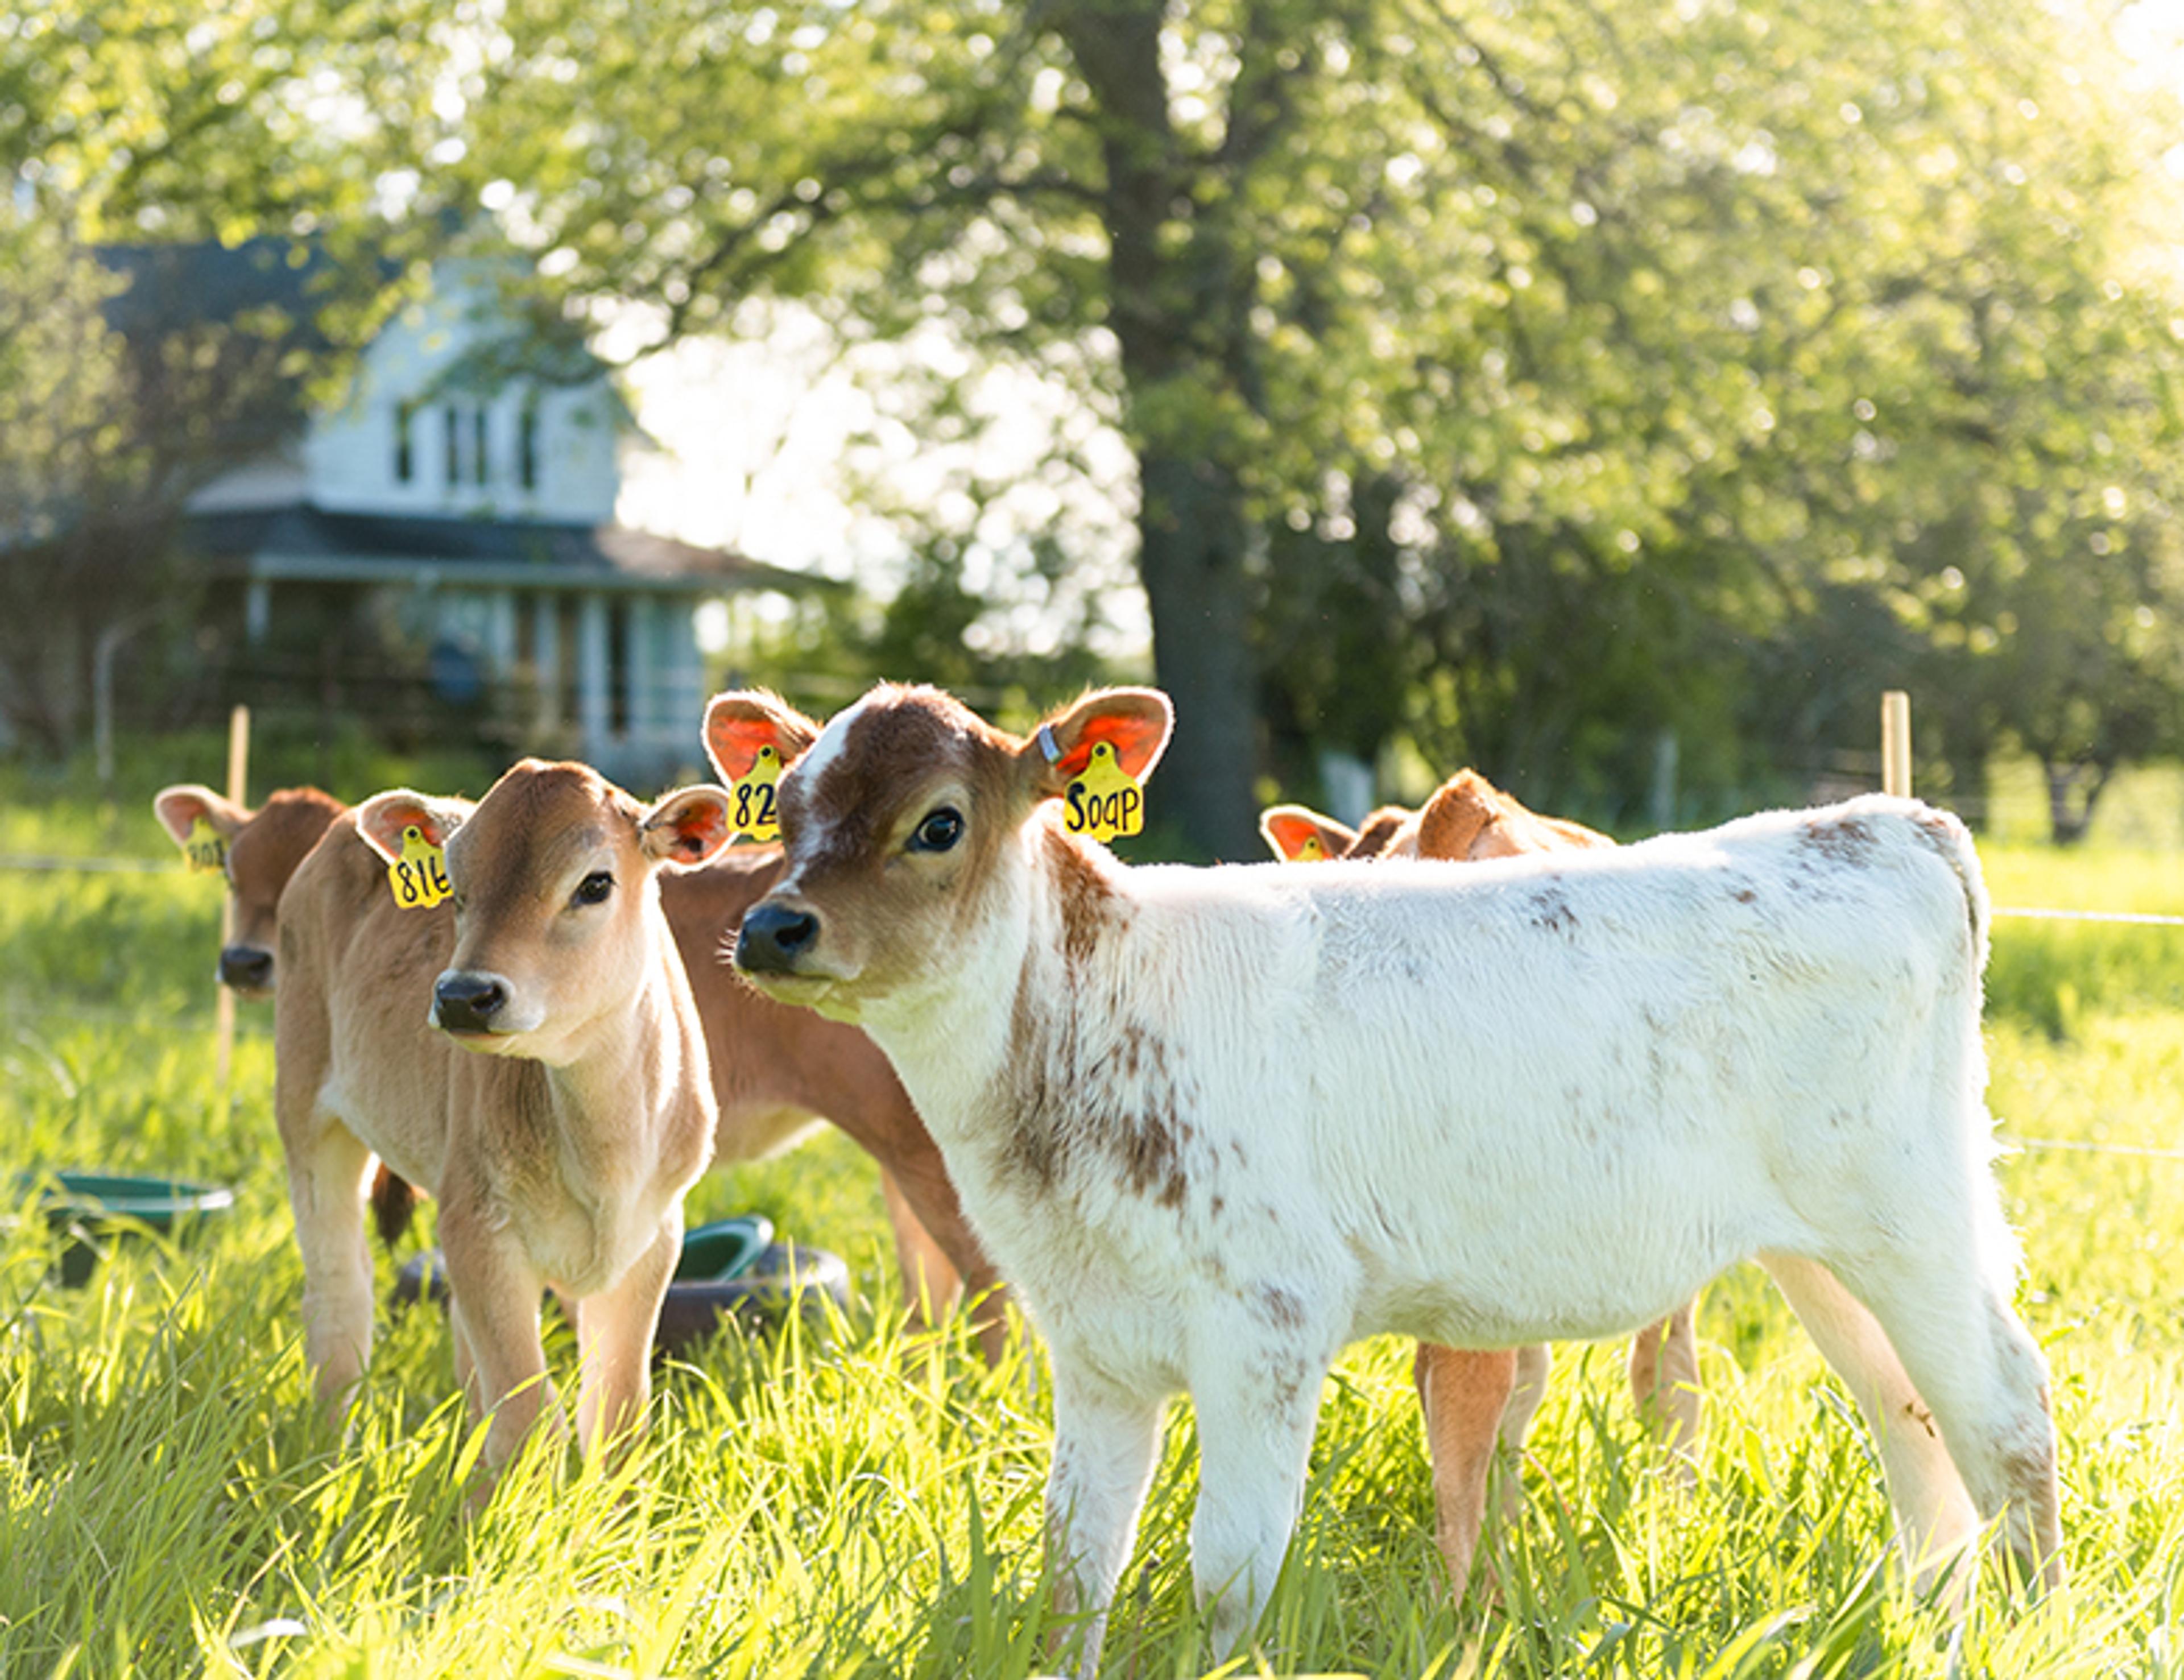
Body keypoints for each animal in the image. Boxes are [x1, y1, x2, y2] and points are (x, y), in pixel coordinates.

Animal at [274, 760, 728, 1473]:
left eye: (596, 882)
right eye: (455, 886)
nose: (464, 995)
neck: (606, 1148)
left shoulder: (653, 1237)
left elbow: (617, 1415)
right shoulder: (481, 1224)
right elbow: (529, 1417)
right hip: (308, 1111)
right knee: (340, 1292)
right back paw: (329, 1448)